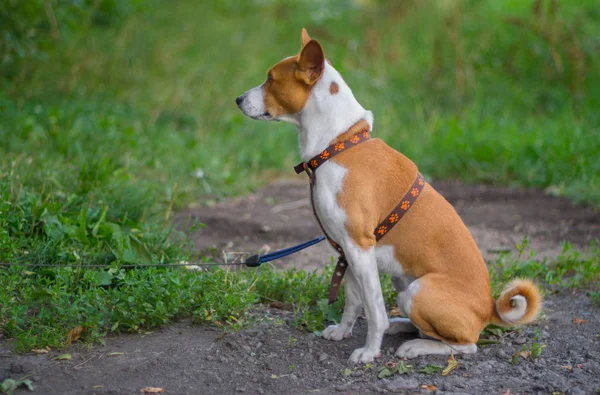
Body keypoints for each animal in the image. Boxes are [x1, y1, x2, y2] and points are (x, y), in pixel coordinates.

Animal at [236, 27, 544, 364]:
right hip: (402, 282)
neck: (338, 144)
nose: (237, 99)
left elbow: (374, 311)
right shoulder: (348, 252)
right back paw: (402, 326)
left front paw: (370, 351)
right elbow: (353, 302)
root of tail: (489, 308)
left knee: (465, 343)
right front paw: (342, 332)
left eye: (270, 79)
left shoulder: (359, 247)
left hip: (418, 292)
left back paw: (414, 346)